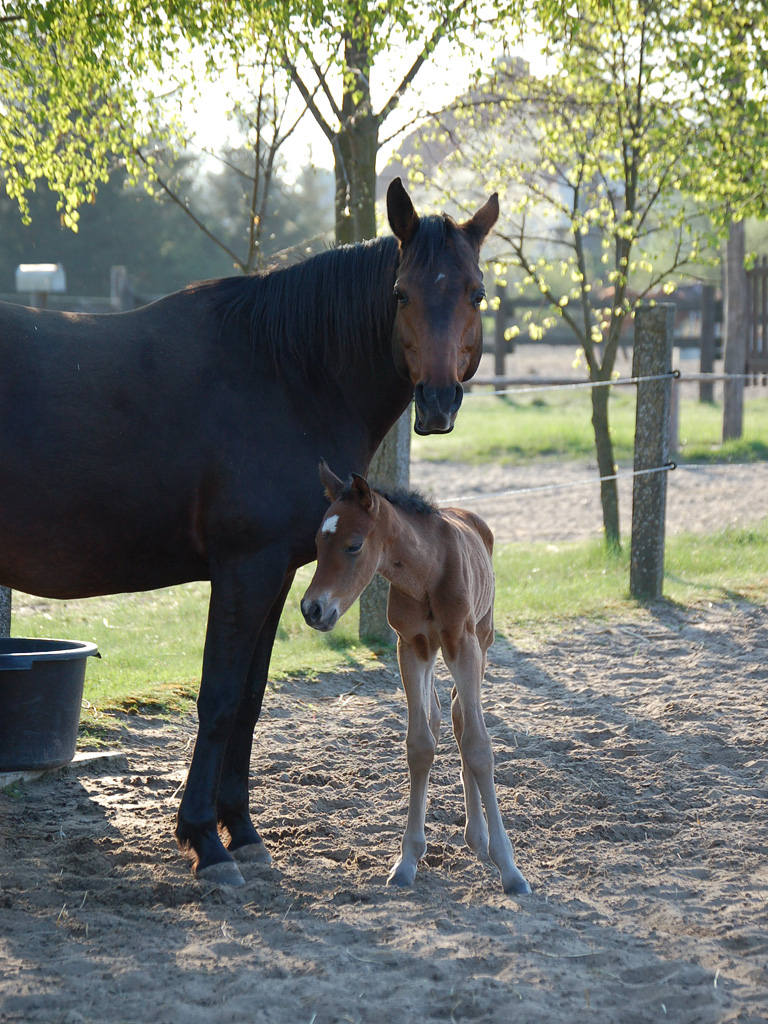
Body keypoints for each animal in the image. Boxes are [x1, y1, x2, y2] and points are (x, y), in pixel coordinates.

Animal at [0, 178, 499, 886]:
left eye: (475, 292)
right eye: (401, 293)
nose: (436, 402)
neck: (286, 374)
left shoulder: (280, 572)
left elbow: (251, 701)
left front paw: (241, 831)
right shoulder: (244, 569)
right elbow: (219, 697)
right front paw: (205, 842)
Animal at [301, 462, 531, 895]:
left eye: (354, 545)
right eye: (318, 543)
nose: (312, 609)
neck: (428, 572)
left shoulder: (464, 642)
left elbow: (478, 745)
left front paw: (510, 868)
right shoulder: (411, 646)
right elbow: (420, 744)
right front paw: (407, 860)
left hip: (484, 638)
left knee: (460, 716)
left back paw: (480, 838)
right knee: (443, 715)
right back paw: (475, 836)